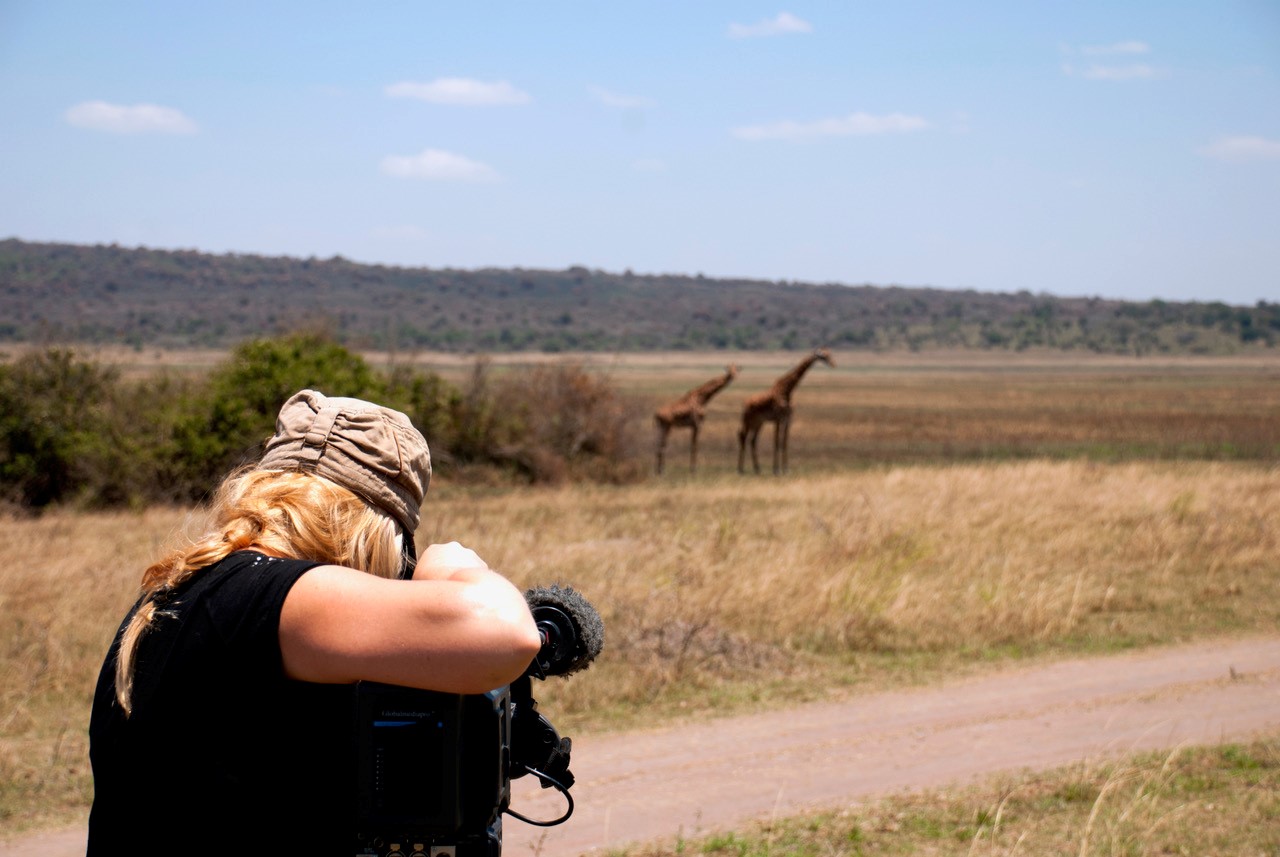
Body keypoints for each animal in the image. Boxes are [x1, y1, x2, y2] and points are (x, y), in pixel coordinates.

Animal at [737, 347, 834, 475]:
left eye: (830, 353)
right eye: (824, 356)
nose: (833, 364)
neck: (787, 391)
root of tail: (745, 404)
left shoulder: (788, 420)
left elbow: (784, 443)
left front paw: (786, 469)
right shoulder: (778, 419)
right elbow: (777, 442)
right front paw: (776, 470)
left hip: (758, 423)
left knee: (752, 441)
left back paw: (757, 469)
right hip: (748, 421)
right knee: (742, 436)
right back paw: (740, 469)